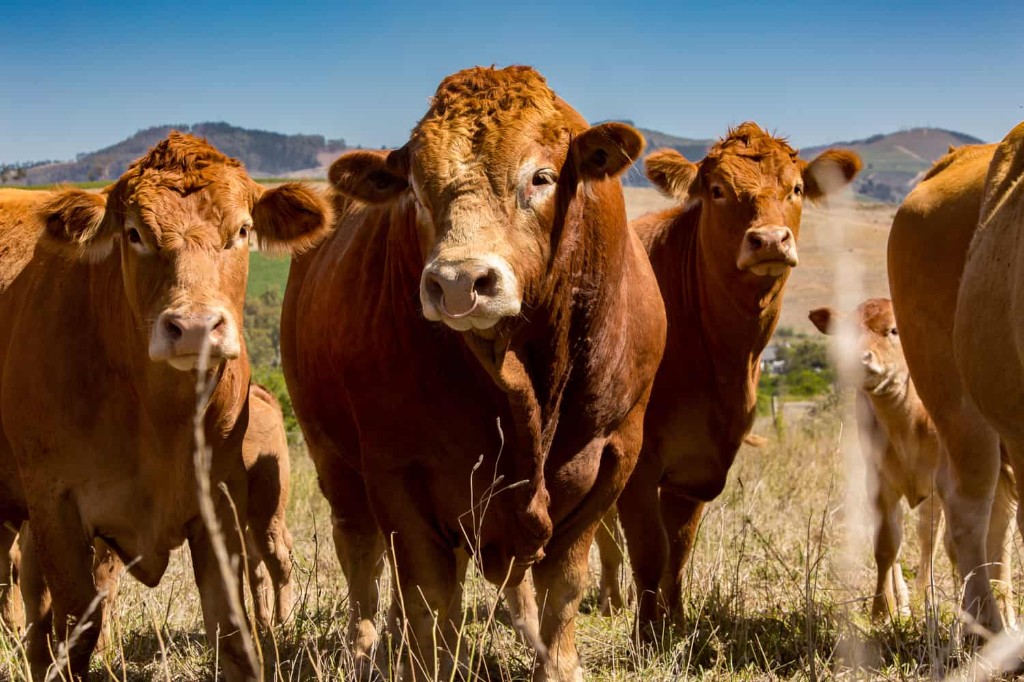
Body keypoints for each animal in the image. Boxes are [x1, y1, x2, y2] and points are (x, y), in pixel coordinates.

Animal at [0, 135, 330, 680]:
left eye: (242, 230)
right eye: (134, 233)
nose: (194, 327)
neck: (158, 418)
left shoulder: (220, 500)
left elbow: (233, 634)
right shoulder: (55, 506)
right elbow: (74, 625)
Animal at [280, 65, 666, 681]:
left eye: (540, 177)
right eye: (415, 190)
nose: (460, 281)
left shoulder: (611, 456)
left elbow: (563, 586)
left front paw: (555, 664)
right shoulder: (399, 470)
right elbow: (428, 594)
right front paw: (427, 661)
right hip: (332, 459)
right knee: (362, 556)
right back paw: (368, 648)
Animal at [594, 123, 861, 631]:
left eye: (797, 189)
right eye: (717, 191)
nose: (770, 240)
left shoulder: (699, 464)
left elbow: (678, 550)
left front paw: (675, 623)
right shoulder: (637, 461)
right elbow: (649, 549)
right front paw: (647, 633)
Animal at [809, 300, 1017, 623]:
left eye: (894, 330)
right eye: (846, 333)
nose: (860, 360)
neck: (904, 421)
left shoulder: (938, 485)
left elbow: (938, 541)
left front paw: (947, 600)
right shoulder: (878, 482)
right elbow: (886, 545)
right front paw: (883, 610)